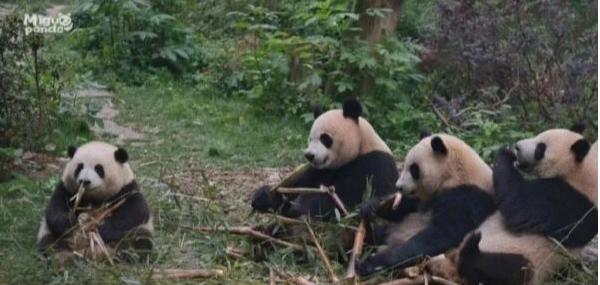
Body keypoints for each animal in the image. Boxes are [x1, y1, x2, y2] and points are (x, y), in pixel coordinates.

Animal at [250, 97, 398, 220]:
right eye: (310, 139)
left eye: (325, 138)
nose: (309, 155)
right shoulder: (317, 171)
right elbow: (294, 190)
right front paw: (262, 196)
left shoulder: (376, 161)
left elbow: (376, 191)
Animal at [358, 133, 494, 276]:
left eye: (413, 169)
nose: (399, 187)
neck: (453, 173)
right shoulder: (425, 196)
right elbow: (404, 208)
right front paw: (372, 206)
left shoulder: (467, 196)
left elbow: (444, 234)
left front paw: (373, 262)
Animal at [458, 126, 596, 284]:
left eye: (540, 148)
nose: (517, 147)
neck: (580, 172)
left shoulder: (570, 202)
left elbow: (519, 209)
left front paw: (505, 153)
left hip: (526, 260)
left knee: (506, 269)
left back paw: (471, 251)